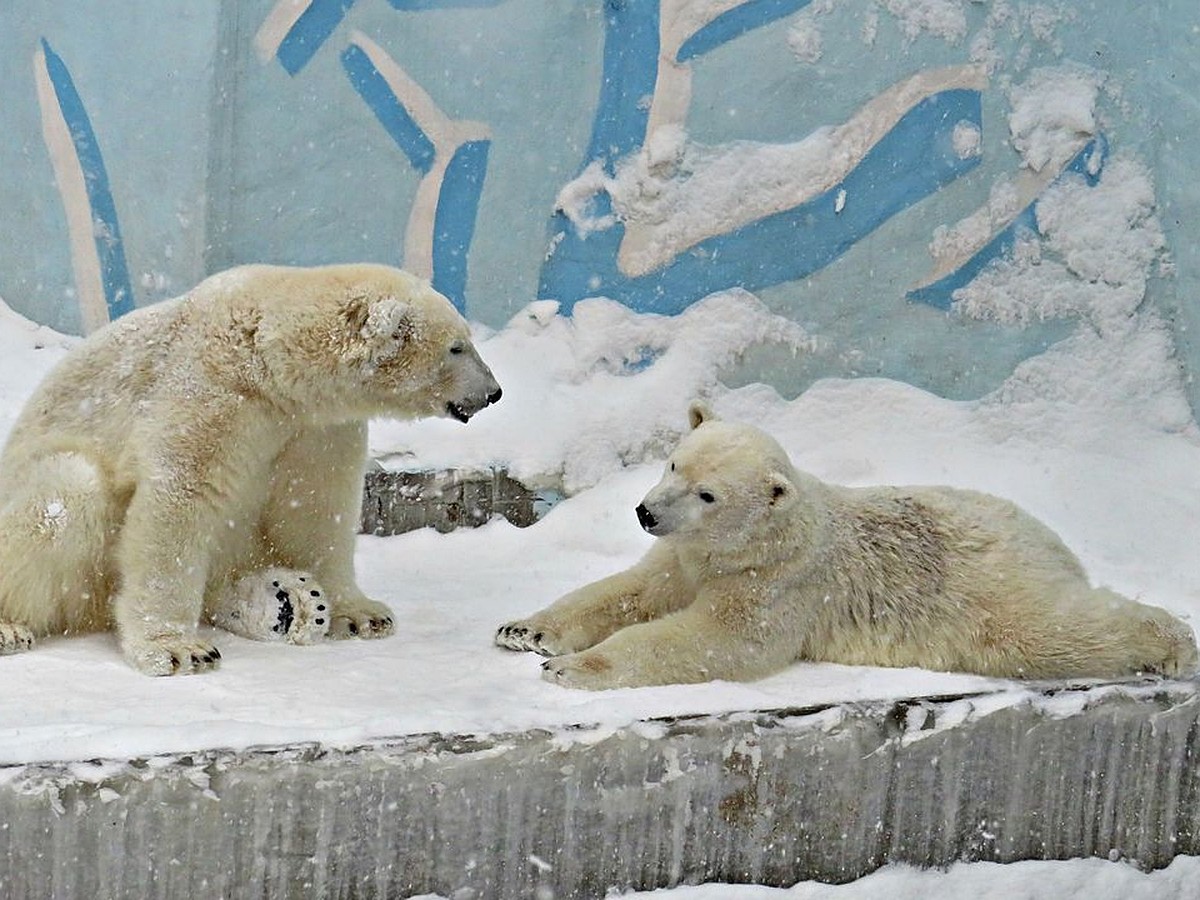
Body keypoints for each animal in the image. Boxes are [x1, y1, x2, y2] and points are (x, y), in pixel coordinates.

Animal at [0, 264, 501, 672]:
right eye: (457, 347)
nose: (493, 392)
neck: (267, 362)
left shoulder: (316, 426)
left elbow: (316, 508)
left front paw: (362, 613)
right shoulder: (210, 393)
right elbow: (178, 501)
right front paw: (179, 649)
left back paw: (288, 601)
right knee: (65, 495)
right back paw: (10, 627)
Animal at [494, 405, 1190, 696]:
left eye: (709, 493)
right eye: (673, 462)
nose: (645, 512)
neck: (757, 543)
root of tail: (1049, 538)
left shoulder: (778, 583)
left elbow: (714, 639)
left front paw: (572, 668)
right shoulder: (686, 556)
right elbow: (632, 589)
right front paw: (523, 630)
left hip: (986, 587)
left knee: (1048, 628)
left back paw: (1174, 642)